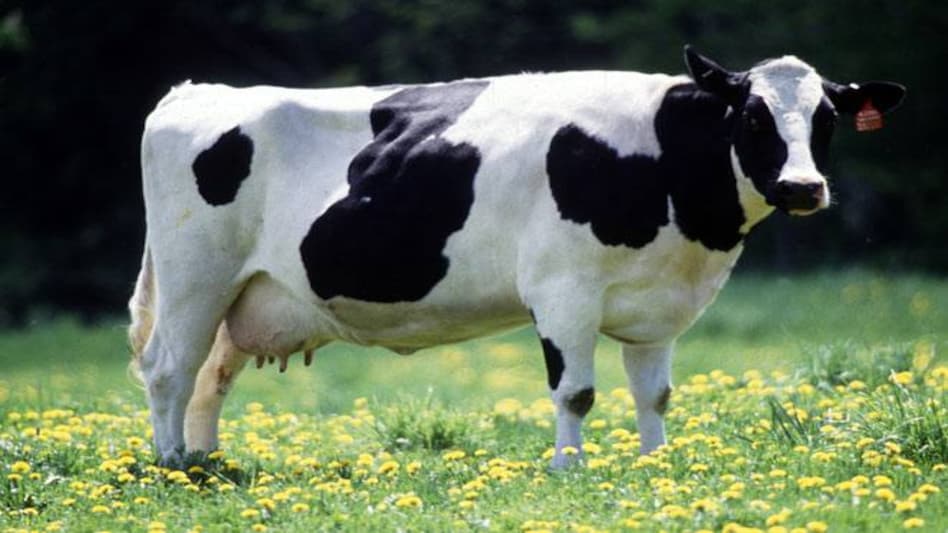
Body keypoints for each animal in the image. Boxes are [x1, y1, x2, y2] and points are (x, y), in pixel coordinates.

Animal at [128, 46, 904, 468]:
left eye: (827, 119)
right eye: (751, 115)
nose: (803, 187)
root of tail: (195, 92)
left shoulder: (657, 307)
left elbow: (653, 394)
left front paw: (656, 465)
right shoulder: (563, 291)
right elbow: (576, 392)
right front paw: (570, 469)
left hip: (245, 294)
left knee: (210, 379)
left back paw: (208, 460)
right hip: (195, 276)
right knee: (170, 370)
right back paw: (174, 467)